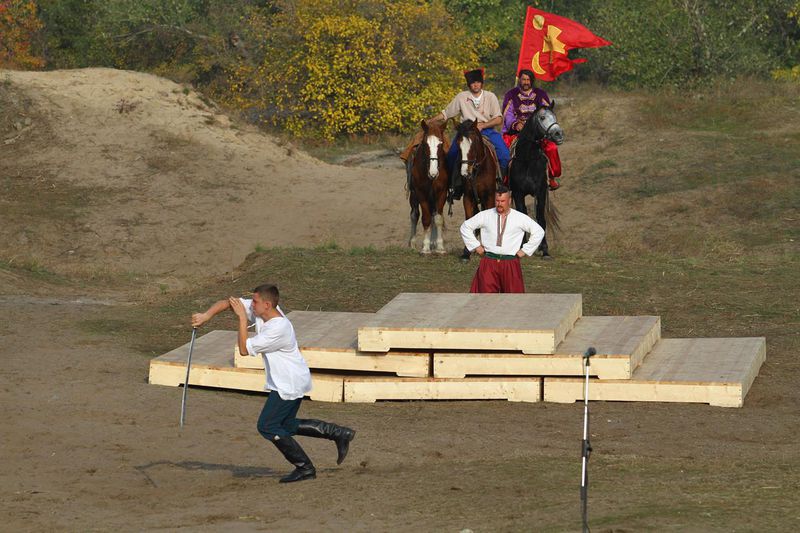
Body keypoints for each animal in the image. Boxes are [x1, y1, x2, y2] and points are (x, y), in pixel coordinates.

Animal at [406, 120, 450, 254]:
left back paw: (433, 243)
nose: (433, 173)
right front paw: (425, 247)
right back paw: (413, 243)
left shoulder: (442, 193)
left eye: (441, 143)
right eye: (426, 144)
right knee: (414, 215)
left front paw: (440, 247)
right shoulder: (421, 193)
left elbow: (438, 219)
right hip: (414, 196)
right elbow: (425, 218)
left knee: (433, 215)